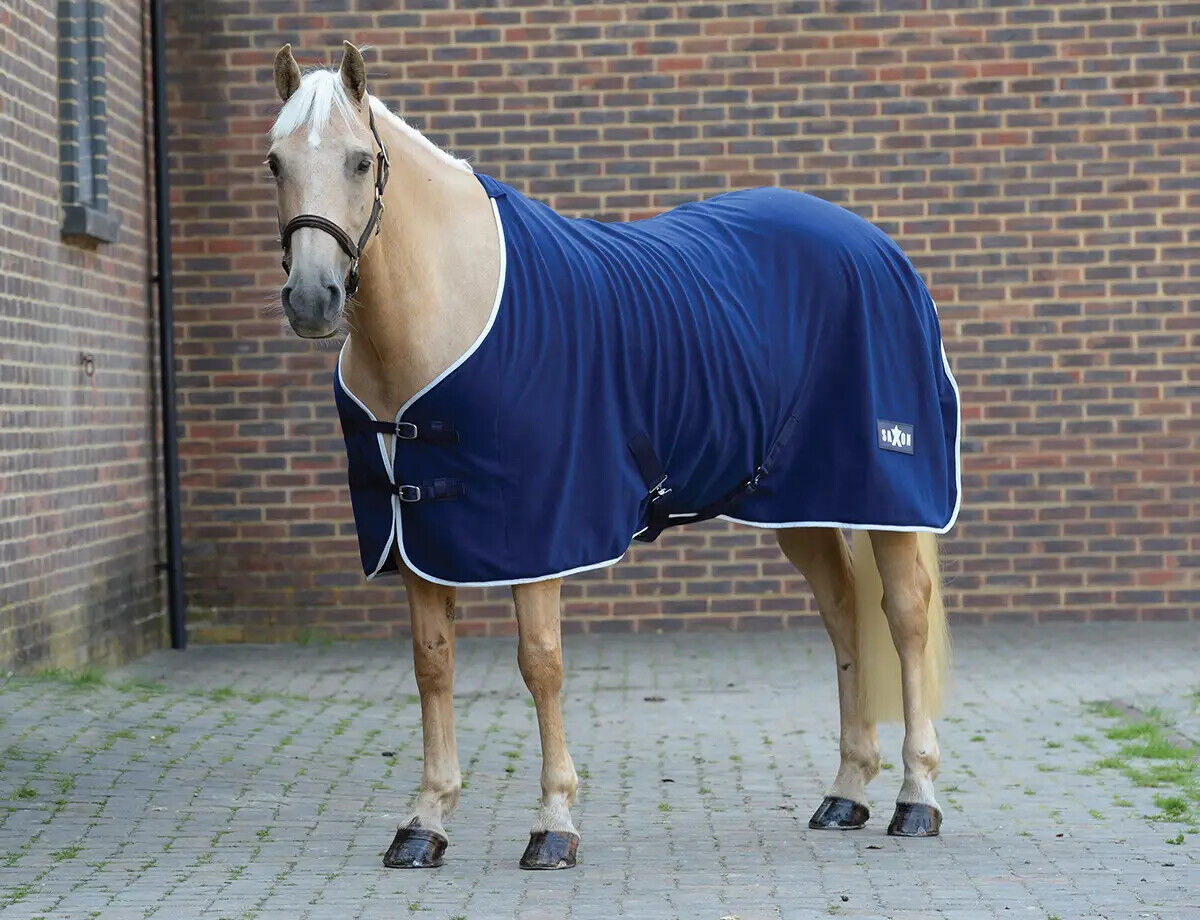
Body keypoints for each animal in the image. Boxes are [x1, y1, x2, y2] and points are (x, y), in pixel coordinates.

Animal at [266, 42, 956, 870]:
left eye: (361, 160)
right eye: (274, 162)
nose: (313, 298)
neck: (451, 310)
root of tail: (882, 249)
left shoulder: (539, 531)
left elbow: (541, 663)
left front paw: (554, 824)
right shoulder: (415, 536)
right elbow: (432, 664)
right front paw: (425, 822)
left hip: (889, 496)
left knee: (905, 617)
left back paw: (916, 799)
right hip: (806, 503)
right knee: (844, 614)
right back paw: (847, 792)